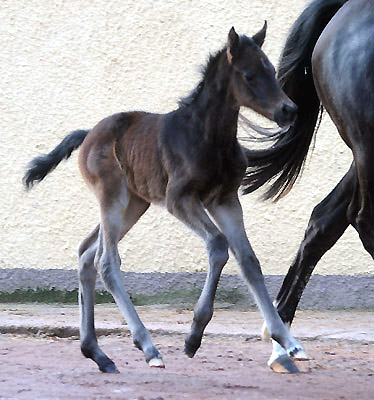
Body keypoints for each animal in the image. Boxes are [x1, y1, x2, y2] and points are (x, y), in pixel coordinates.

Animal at [22, 26, 306, 374]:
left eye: (272, 71)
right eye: (249, 74)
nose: (288, 110)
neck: (208, 136)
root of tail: (88, 134)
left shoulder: (225, 199)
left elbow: (248, 260)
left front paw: (288, 342)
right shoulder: (179, 199)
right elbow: (218, 245)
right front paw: (193, 336)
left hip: (134, 203)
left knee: (87, 253)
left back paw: (98, 353)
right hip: (112, 196)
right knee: (106, 261)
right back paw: (148, 347)